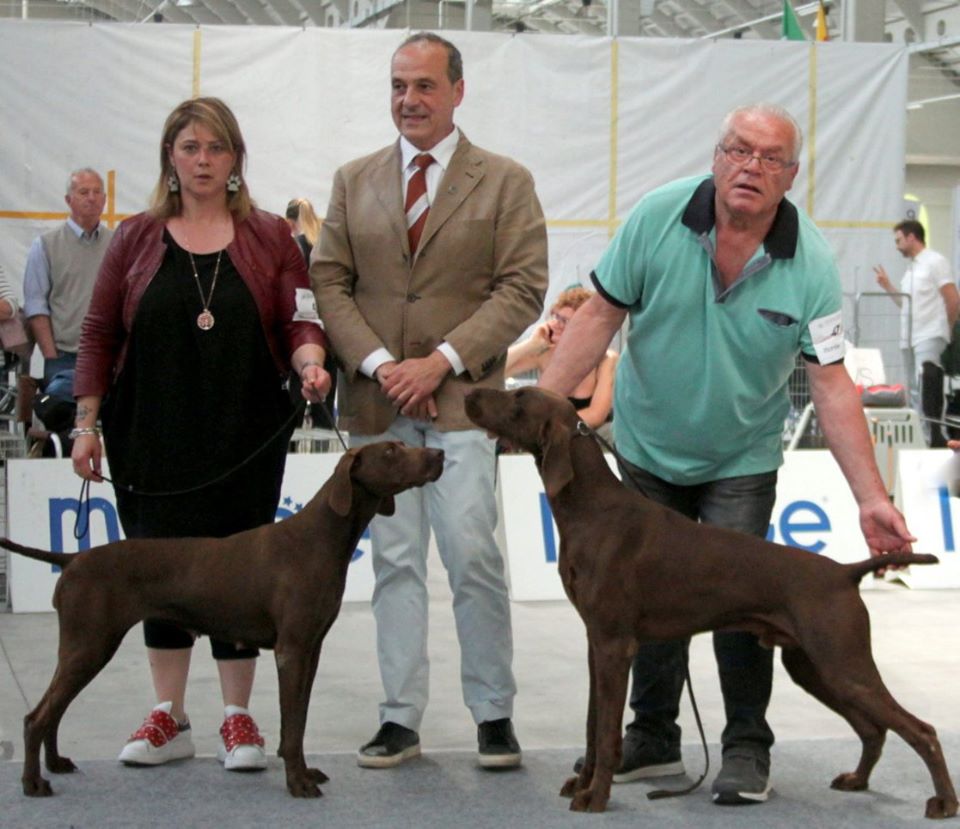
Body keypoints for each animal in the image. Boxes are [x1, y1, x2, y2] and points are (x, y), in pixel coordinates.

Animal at [1, 441, 444, 799]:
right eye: (391, 450)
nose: (438, 454)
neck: (321, 537)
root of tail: (72, 559)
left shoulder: (311, 649)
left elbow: (297, 722)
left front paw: (303, 771)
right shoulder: (292, 650)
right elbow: (292, 726)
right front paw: (297, 783)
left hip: (85, 648)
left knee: (53, 711)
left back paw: (56, 764)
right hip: (89, 645)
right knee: (35, 717)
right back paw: (33, 782)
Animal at [465, 387, 957, 819]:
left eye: (518, 399)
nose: (468, 394)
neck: (591, 508)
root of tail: (844, 571)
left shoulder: (615, 645)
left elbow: (605, 734)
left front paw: (595, 797)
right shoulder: (596, 643)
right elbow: (590, 726)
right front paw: (583, 784)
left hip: (842, 662)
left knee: (922, 730)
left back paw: (944, 803)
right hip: (813, 665)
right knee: (873, 727)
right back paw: (858, 779)